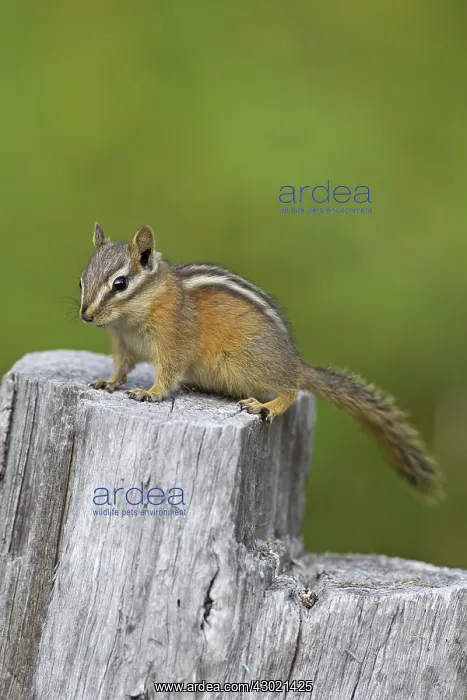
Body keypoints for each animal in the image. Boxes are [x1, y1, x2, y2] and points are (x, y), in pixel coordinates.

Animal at [79, 223, 441, 498]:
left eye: (120, 283)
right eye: (82, 279)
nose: (86, 316)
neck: (132, 317)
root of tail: (295, 361)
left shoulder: (174, 341)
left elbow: (167, 371)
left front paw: (151, 392)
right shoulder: (123, 345)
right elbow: (121, 368)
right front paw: (107, 382)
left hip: (247, 362)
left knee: (291, 388)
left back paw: (267, 406)